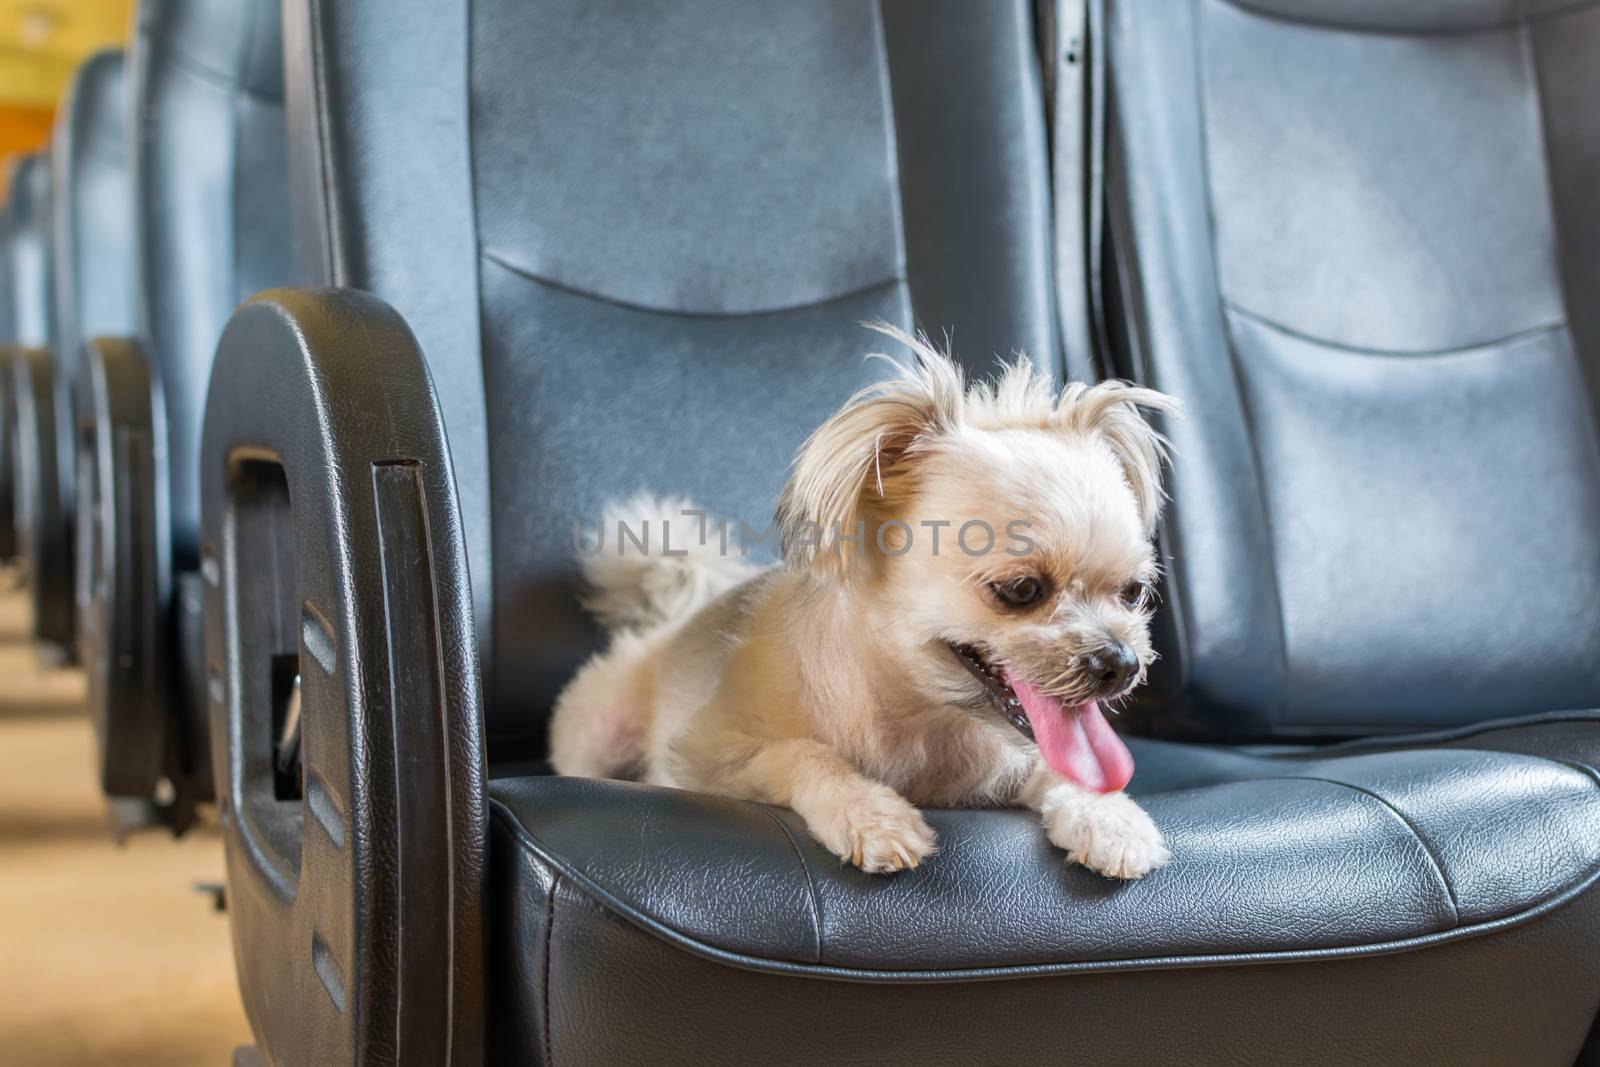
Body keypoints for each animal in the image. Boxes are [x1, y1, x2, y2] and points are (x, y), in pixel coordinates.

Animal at [550, 329, 1177, 883]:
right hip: (599, 732)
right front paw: (869, 813)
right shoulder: (705, 760)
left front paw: (1110, 818)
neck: (924, 719)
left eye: (1134, 593)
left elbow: (1071, 773)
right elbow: (800, 752)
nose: (1121, 663)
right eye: (1021, 590)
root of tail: (670, 622)